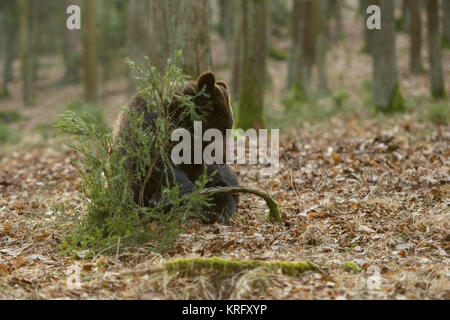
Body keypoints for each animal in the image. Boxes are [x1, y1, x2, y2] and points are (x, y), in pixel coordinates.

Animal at [113, 72, 239, 222]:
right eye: (218, 133)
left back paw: (216, 212)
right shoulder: (150, 126)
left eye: (228, 130)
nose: (225, 157)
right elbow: (160, 164)